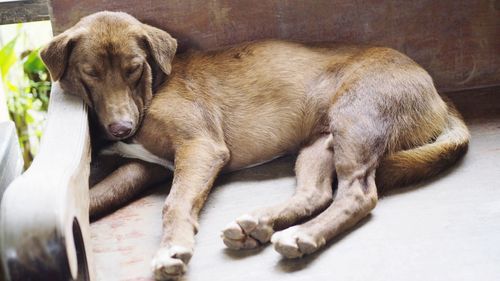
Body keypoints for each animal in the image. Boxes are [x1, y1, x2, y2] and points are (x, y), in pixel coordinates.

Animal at [40, 11, 468, 280]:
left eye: (134, 69)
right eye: (90, 73)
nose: (121, 129)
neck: (155, 86)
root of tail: (438, 92)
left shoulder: (200, 147)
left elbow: (174, 203)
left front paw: (172, 250)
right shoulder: (142, 166)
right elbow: (96, 198)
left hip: (356, 119)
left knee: (357, 194)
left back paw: (301, 236)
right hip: (320, 142)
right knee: (316, 193)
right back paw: (260, 224)